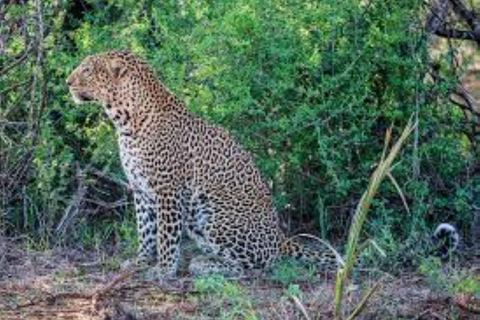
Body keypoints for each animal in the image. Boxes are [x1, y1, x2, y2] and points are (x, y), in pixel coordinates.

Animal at [66, 51, 342, 278]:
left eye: (87, 70)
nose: (68, 82)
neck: (125, 121)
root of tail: (281, 238)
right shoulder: (141, 191)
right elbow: (145, 231)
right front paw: (141, 262)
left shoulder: (168, 191)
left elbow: (165, 235)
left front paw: (164, 270)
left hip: (212, 217)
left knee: (256, 265)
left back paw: (203, 264)